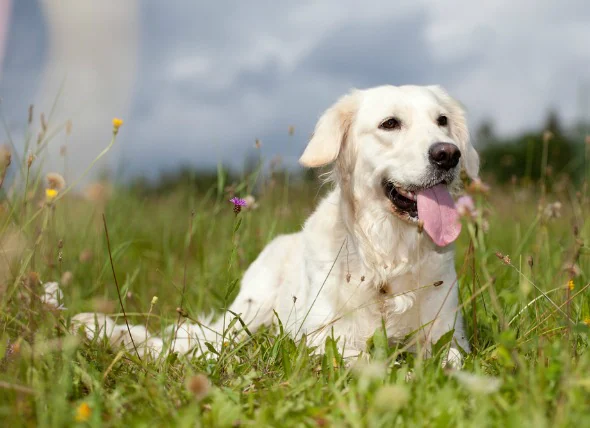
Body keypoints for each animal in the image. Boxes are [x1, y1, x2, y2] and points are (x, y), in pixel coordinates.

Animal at [74, 85, 480, 366]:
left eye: (442, 121)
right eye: (390, 124)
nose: (448, 154)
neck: (387, 259)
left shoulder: (448, 335)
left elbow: (451, 363)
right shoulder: (327, 340)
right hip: (247, 316)